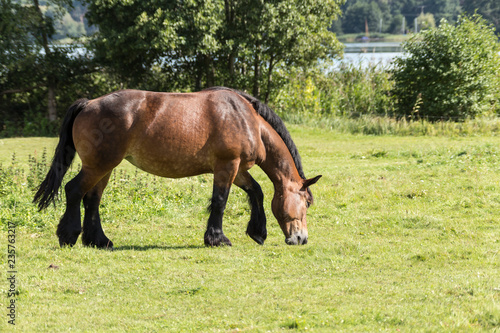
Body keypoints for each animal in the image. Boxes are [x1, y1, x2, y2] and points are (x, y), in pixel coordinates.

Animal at [32, 87, 320, 248]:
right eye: (306, 203)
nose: (301, 239)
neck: (245, 119)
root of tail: (88, 104)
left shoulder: (237, 170)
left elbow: (257, 192)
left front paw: (257, 232)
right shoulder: (227, 166)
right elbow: (220, 202)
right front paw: (217, 238)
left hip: (104, 168)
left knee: (92, 200)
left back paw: (99, 241)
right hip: (98, 165)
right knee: (73, 191)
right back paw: (69, 235)